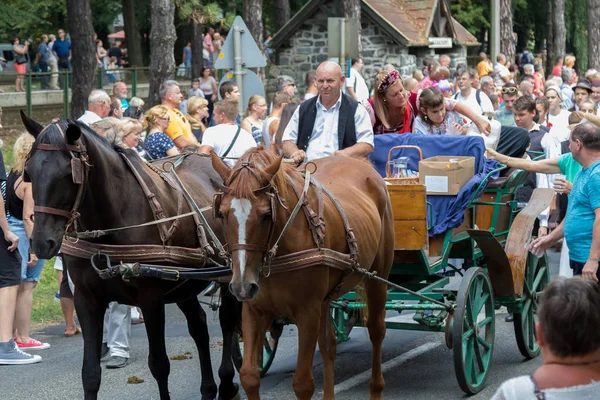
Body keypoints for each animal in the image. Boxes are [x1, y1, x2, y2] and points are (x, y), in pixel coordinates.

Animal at [21, 113, 241, 400]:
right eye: (29, 172)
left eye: (68, 173)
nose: (41, 241)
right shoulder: (86, 299)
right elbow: (90, 373)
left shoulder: (151, 298)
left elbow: (159, 365)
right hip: (185, 282)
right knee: (199, 327)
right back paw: (208, 388)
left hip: (229, 272)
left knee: (227, 319)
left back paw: (226, 381)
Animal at [210, 149, 394, 400]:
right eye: (222, 213)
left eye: (266, 214)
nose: (241, 287)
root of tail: (362, 162)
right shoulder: (253, 311)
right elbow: (249, 375)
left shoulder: (307, 312)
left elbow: (303, 383)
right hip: (325, 300)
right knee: (329, 346)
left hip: (377, 279)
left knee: (376, 331)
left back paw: (376, 386)